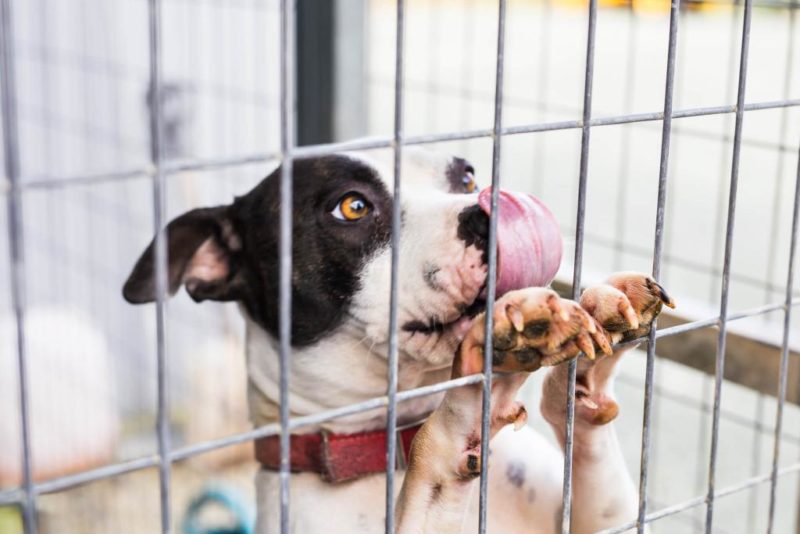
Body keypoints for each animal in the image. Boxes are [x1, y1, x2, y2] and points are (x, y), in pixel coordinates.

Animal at [126, 149, 676, 532]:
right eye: (352, 206)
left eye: (466, 177)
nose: (489, 210)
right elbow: (439, 449)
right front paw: (478, 390)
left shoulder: (613, 519)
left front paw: (597, 334)